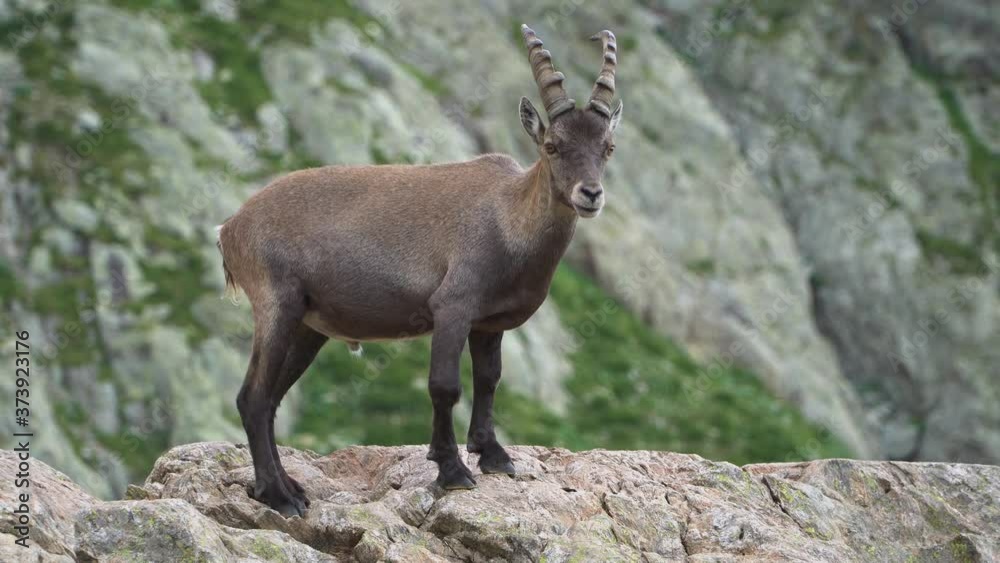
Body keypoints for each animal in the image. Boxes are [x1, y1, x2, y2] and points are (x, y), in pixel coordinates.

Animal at [216, 24, 622, 517]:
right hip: (276, 305)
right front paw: (451, 470)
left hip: (309, 326)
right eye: (552, 146)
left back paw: (289, 488)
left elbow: (489, 380)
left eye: (608, 147)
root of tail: (231, 227)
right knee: (253, 398)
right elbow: (444, 386)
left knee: (272, 399)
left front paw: (493, 454)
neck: (508, 220)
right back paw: (278, 497)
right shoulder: (452, 307)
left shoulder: (488, 323)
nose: (590, 194)